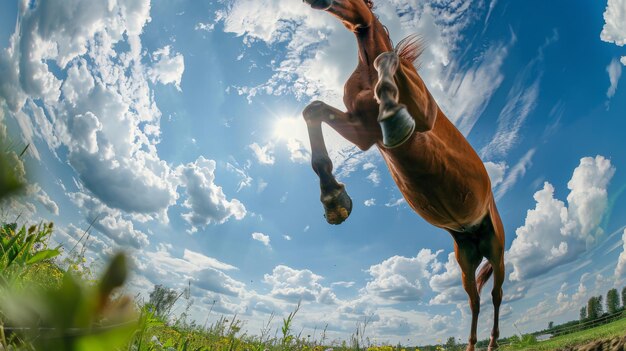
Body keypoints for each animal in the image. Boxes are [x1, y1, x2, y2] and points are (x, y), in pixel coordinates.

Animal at [300, 1, 504, 350]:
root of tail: (474, 230)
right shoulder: (363, 133)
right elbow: (313, 110)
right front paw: (334, 200)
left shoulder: (423, 116)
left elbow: (386, 58)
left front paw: (393, 116)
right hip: (466, 261)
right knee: (475, 300)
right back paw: (472, 344)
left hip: (498, 252)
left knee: (496, 295)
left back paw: (492, 342)